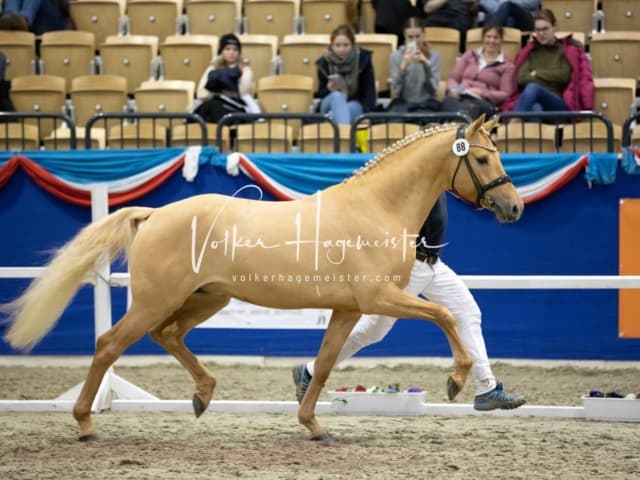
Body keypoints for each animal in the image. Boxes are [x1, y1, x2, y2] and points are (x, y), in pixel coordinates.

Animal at [5, 115, 524, 442]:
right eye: (482, 159)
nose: (514, 207)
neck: (376, 207)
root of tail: (153, 214)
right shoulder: (379, 298)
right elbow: (444, 316)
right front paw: (456, 381)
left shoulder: (348, 309)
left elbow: (326, 363)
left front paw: (314, 426)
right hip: (157, 300)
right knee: (110, 344)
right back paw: (86, 424)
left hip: (204, 299)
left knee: (166, 335)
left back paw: (202, 395)